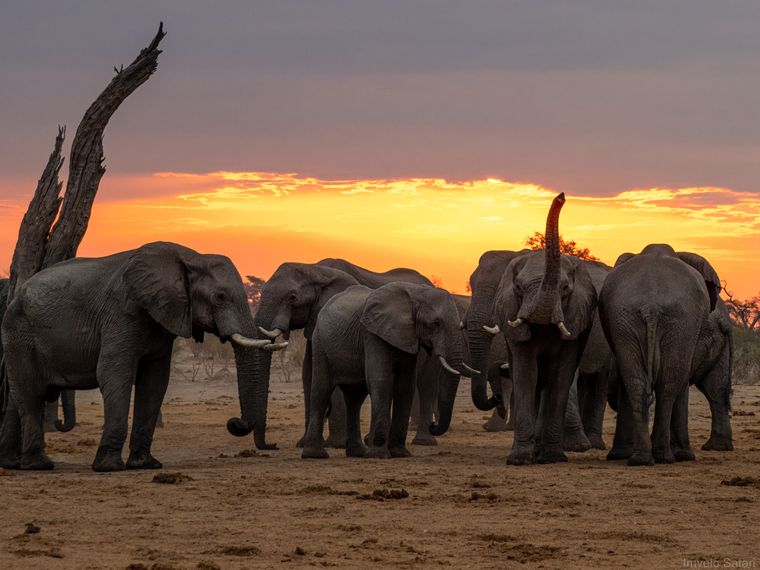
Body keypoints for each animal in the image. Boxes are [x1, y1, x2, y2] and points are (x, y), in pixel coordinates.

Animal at [0, 241, 285, 471]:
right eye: (220, 296)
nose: (234, 423)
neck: (190, 257)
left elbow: (155, 381)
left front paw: (145, 465)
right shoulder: (121, 312)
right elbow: (115, 373)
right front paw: (109, 468)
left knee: (18, 397)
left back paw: (14, 464)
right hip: (18, 333)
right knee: (30, 393)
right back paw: (39, 465)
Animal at [228, 258, 455, 449]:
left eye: (292, 297)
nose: (273, 445)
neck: (316, 270)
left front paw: (334, 444)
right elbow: (309, 373)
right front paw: (304, 444)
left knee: (426, 385)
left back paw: (423, 442)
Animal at [301, 282, 469, 459]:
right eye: (435, 324)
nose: (433, 425)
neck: (415, 293)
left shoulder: (407, 337)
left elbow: (405, 385)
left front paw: (400, 453)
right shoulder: (373, 334)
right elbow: (381, 380)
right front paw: (379, 455)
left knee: (355, 398)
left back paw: (358, 453)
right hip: (320, 343)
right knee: (321, 391)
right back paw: (316, 455)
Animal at [491, 193, 598, 465]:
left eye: (565, 289)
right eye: (518, 288)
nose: (561, 196)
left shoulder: (575, 320)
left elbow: (561, 375)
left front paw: (553, 457)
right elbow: (526, 372)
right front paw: (519, 460)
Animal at [599, 244, 726, 465]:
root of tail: (651, 306)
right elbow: (682, 379)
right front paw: (684, 456)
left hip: (626, 320)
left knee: (635, 382)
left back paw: (638, 458)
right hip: (680, 322)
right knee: (670, 383)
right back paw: (665, 457)